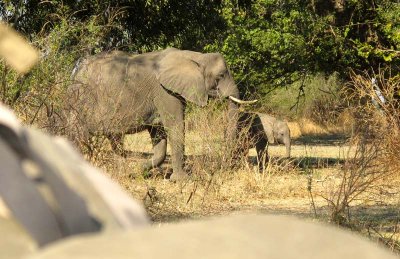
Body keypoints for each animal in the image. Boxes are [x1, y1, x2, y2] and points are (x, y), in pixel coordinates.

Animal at [65, 47, 253, 181]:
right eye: (220, 76)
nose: (224, 167)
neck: (194, 56)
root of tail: (75, 71)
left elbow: (159, 134)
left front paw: (137, 171)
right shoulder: (164, 91)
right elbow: (175, 126)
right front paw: (182, 180)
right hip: (81, 99)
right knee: (78, 135)